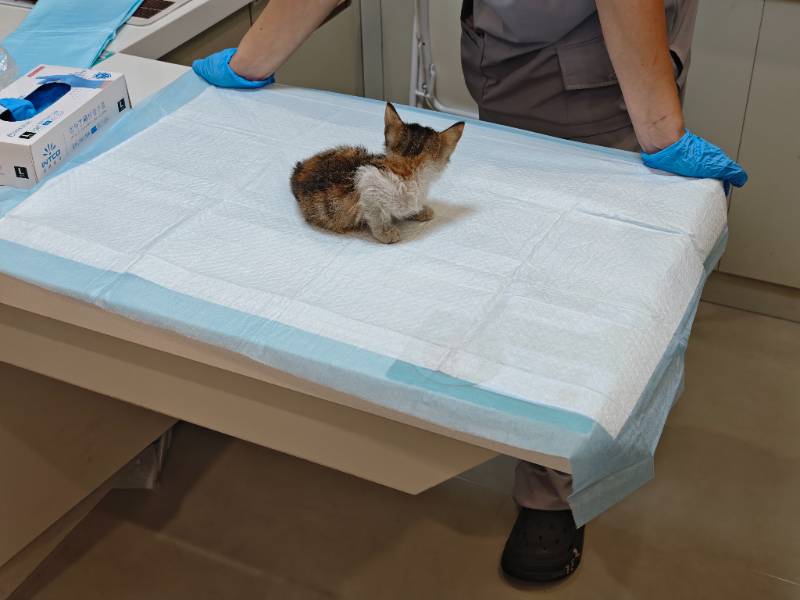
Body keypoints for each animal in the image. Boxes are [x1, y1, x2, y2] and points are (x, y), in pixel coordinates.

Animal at [290, 103, 465, 244]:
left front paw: (419, 210)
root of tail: (299, 168)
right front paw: (385, 232)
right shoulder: (368, 183)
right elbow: (376, 213)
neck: (407, 166)